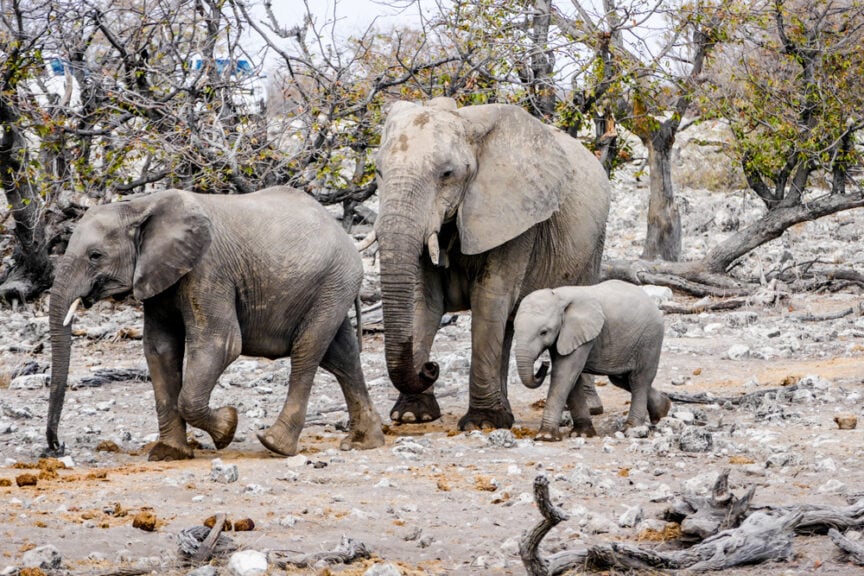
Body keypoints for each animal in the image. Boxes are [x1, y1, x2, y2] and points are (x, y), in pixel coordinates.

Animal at [47, 186, 385, 460]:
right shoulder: (159, 275)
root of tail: (343, 233)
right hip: (332, 287)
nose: (57, 447)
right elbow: (159, 349)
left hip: (333, 282)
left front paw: (228, 427)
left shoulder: (208, 270)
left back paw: (275, 444)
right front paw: (169, 454)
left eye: (95, 255)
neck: (140, 205)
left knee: (308, 351)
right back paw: (362, 443)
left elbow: (220, 343)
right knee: (342, 357)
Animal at [373, 97, 611, 430]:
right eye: (379, 171)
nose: (431, 367)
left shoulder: (516, 220)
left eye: (447, 174)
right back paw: (506, 409)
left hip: (594, 242)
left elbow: (489, 299)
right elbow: (425, 302)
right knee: (509, 324)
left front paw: (482, 423)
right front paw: (412, 415)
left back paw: (585, 408)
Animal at [513, 280, 672, 440]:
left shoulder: (580, 332)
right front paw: (581, 433)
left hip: (649, 338)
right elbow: (572, 378)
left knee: (638, 380)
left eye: (543, 332)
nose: (544, 364)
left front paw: (545, 436)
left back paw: (632, 428)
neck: (559, 296)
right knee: (620, 379)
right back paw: (662, 410)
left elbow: (563, 374)